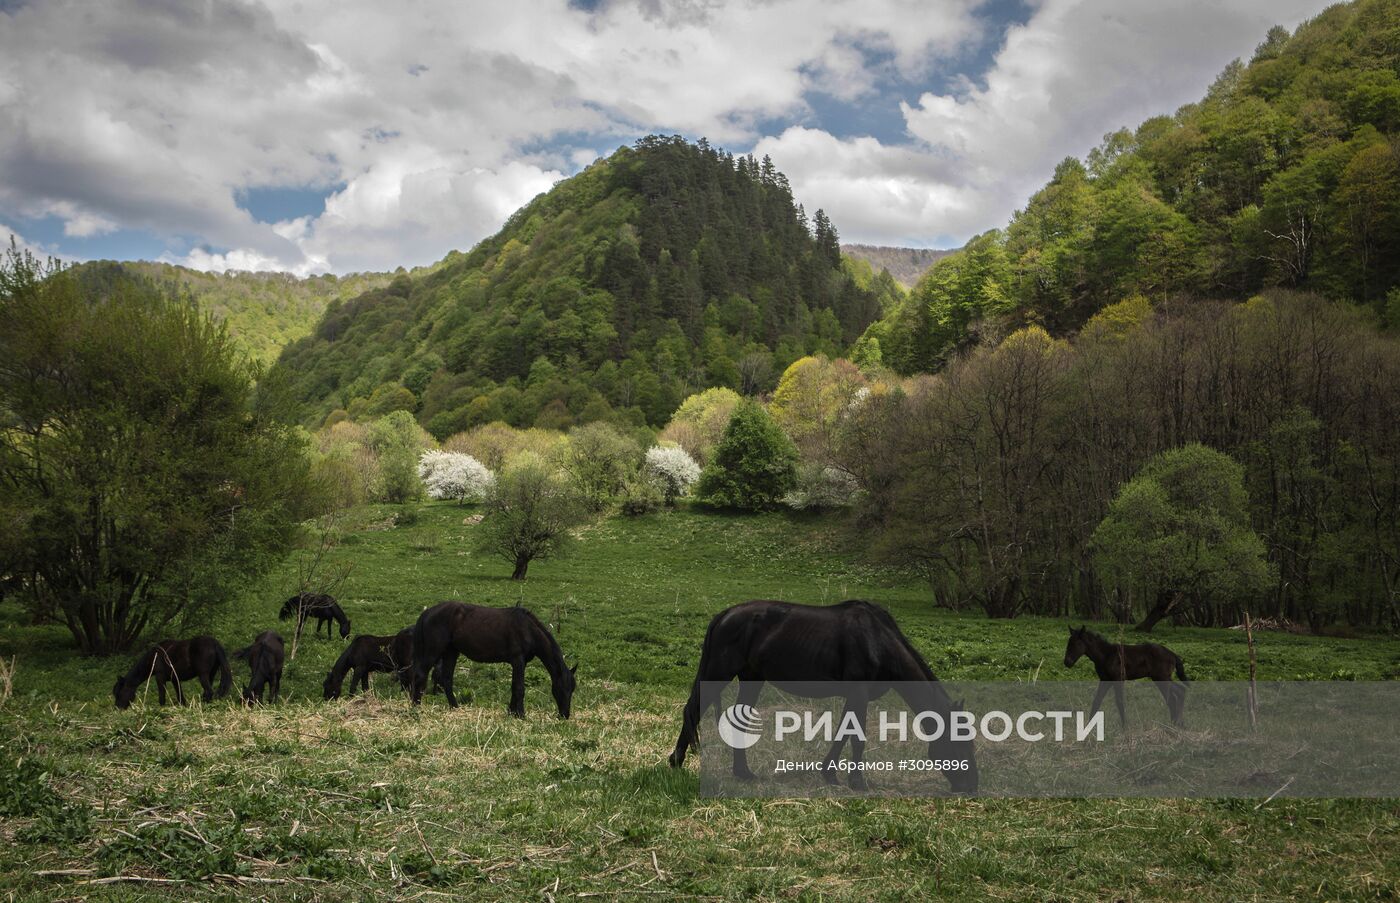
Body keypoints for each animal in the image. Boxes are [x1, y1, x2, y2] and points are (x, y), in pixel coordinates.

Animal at [408, 599, 574, 716]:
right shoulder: (518, 660)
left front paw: (512, 712)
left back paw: (454, 707)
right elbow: (519, 687)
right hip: (432, 652)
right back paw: (416, 708)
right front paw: (521, 714)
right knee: (420, 676)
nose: (564, 715)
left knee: (446, 680)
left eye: (572, 689)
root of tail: (428, 612)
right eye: (562, 688)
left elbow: (514, 686)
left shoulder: (519, 663)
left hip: (451, 652)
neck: (528, 629)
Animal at [669, 602, 980, 795]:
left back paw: (743, 772)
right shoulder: (858, 693)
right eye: (960, 744)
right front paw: (857, 781)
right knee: (693, 710)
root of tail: (724, 615)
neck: (878, 640)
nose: (972, 786)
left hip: (752, 678)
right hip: (719, 672)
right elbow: (857, 737)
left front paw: (829, 772)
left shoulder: (854, 696)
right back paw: (676, 762)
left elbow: (843, 732)